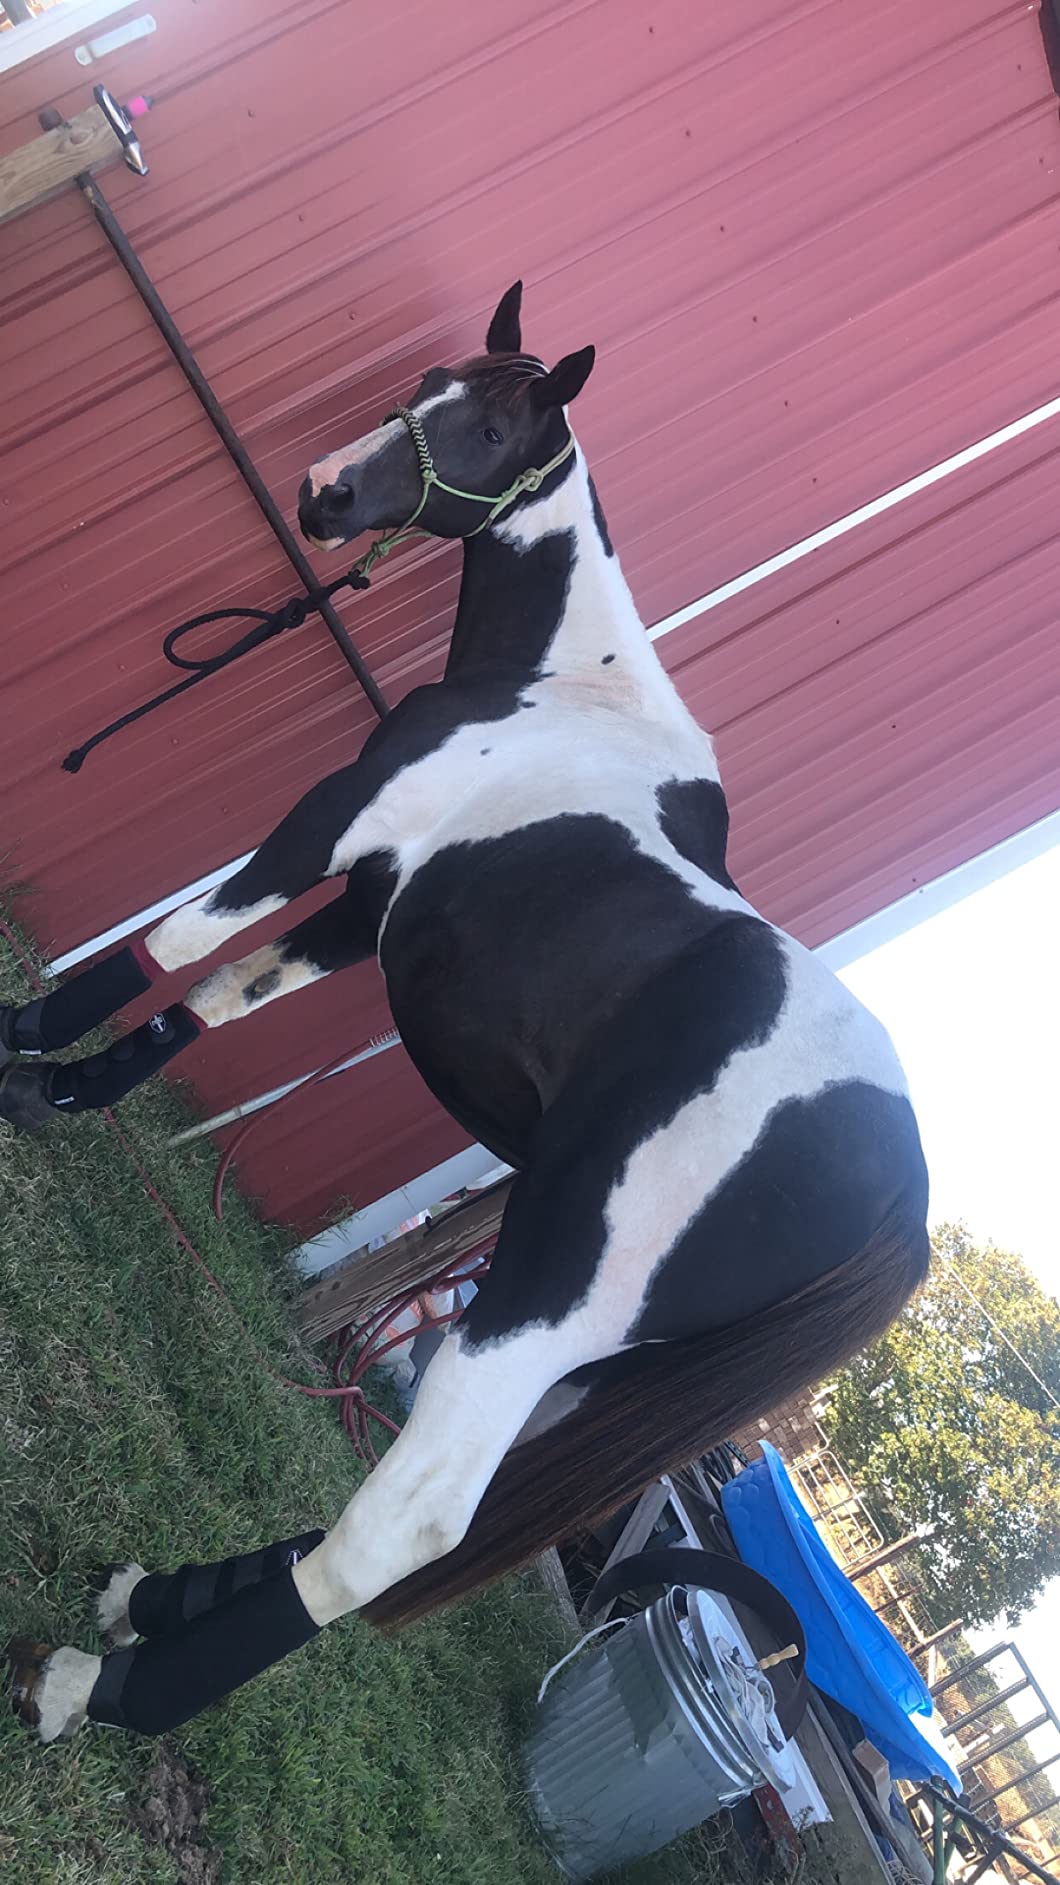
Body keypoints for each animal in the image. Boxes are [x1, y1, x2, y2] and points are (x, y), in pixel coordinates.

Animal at [4, 284, 930, 1744]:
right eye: (428, 386)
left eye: (492, 426)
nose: (325, 493)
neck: (571, 690)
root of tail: (905, 1198)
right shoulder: (370, 898)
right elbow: (208, 998)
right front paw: (54, 1090)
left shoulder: (335, 822)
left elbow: (167, 944)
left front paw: (13, 1054)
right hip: (592, 1358)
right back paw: (159, 1601)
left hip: (546, 1300)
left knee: (415, 1522)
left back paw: (106, 1687)